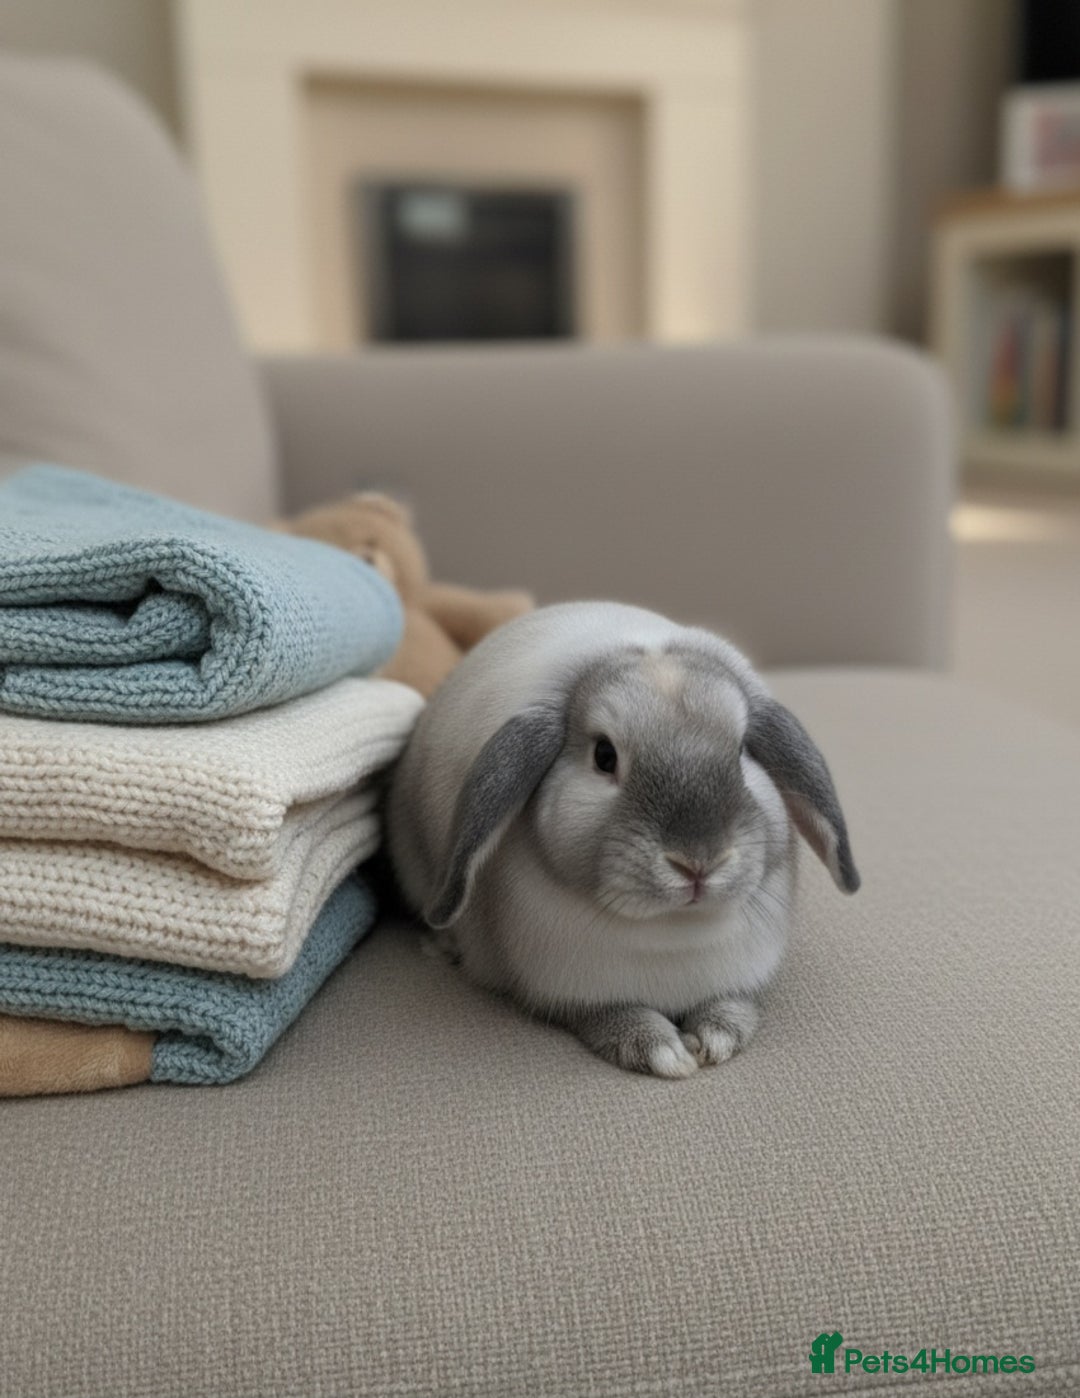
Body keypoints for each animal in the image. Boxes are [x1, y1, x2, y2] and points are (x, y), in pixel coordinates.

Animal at [386, 601, 859, 1078]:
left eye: (743, 749)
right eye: (604, 756)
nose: (698, 862)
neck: (673, 932)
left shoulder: (740, 978)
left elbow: (733, 1006)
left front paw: (714, 1039)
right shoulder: (572, 996)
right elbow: (611, 1016)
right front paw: (663, 1052)